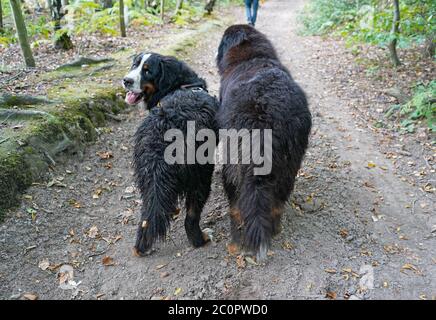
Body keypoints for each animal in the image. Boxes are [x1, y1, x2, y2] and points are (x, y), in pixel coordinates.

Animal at [122, 53, 218, 258]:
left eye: (147, 70)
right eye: (135, 65)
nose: (126, 80)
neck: (184, 86)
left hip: (148, 179)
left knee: (148, 216)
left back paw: (141, 247)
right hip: (201, 176)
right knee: (191, 218)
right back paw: (201, 239)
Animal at [216, 24, 312, 260]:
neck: (251, 57)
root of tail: (264, 110)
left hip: (231, 165)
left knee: (236, 206)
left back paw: (236, 240)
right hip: (289, 166)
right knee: (277, 203)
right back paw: (274, 229)